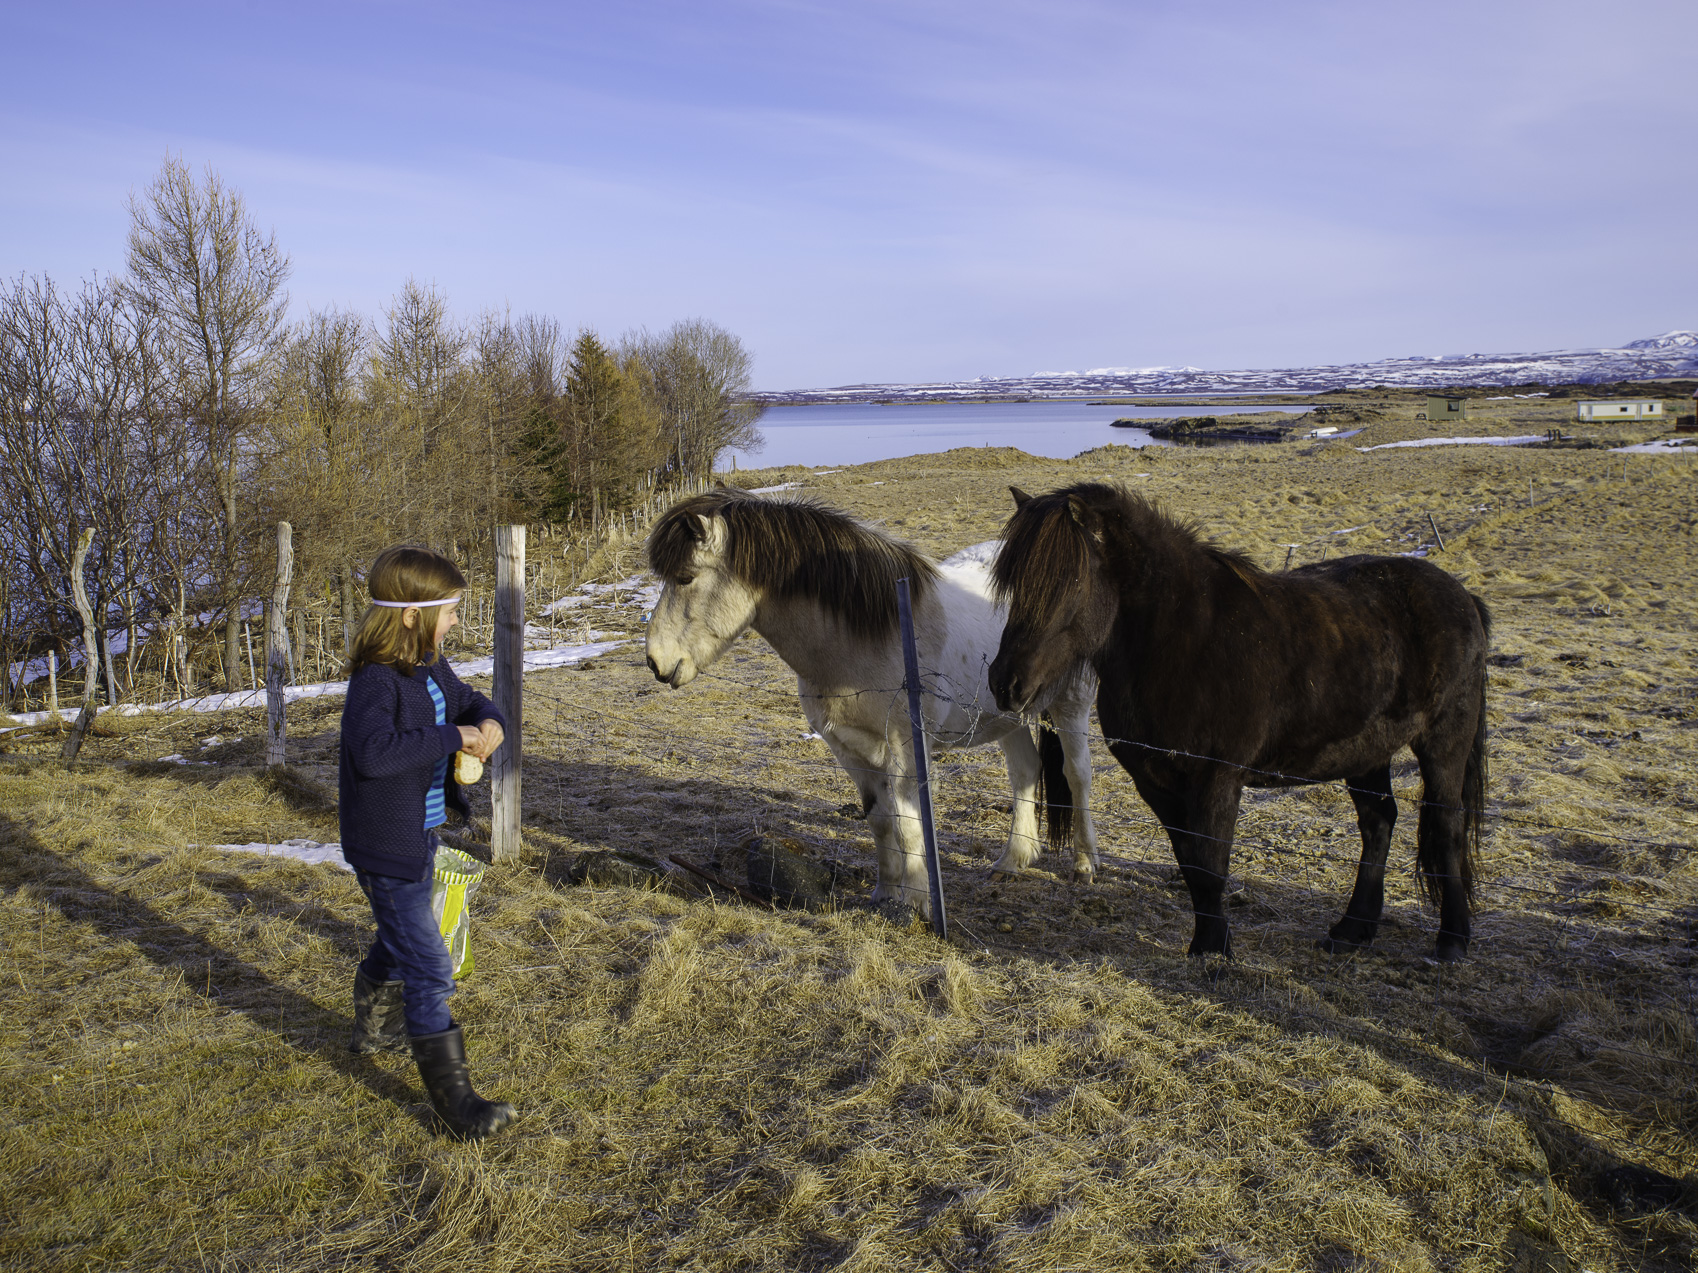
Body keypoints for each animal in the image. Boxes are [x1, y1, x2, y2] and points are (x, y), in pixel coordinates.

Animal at [638, 488, 1100, 916]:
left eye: (685, 578)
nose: (655, 662)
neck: (870, 636)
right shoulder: (848, 749)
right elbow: (880, 822)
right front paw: (885, 894)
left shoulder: (906, 749)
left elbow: (910, 826)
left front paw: (917, 905)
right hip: (1009, 711)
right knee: (1025, 772)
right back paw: (1012, 860)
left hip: (1070, 705)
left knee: (1076, 774)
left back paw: (1084, 865)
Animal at [984, 482, 1487, 964]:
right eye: (1012, 585)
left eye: (1066, 582)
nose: (1005, 683)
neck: (1183, 643)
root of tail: (1463, 596)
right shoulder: (1155, 782)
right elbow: (1191, 864)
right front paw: (1208, 942)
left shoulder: (1217, 779)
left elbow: (1210, 865)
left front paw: (1212, 951)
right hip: (1367, 752)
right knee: (1378, 822)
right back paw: (1351, 931)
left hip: (1444, 741)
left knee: (1447, 827)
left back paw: (1452, 941)